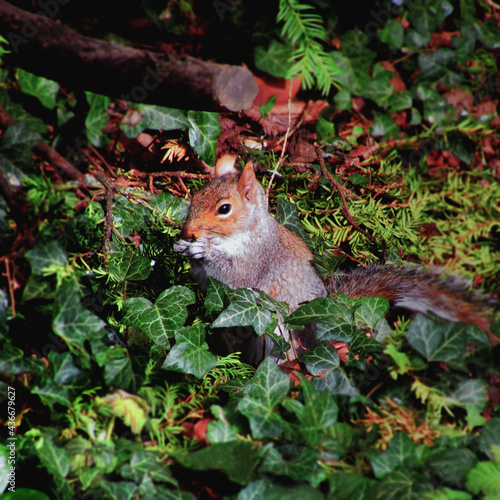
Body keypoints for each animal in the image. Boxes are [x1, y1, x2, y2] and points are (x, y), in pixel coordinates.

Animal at [174, 154, 498, 362]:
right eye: (195, 197)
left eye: (224, 209)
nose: (188, 231)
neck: (243, 234)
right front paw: (183, 247)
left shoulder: (256, 259)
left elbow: (232, 276)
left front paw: (202, 251)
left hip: (277, 335)